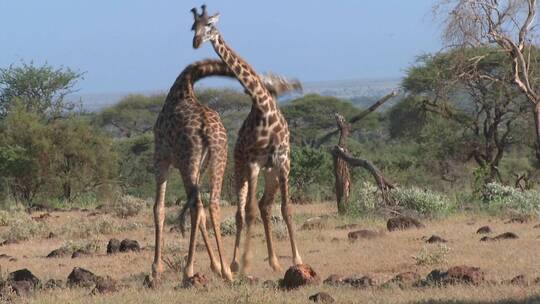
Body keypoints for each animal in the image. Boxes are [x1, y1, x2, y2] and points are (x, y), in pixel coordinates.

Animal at [190, 4, 302, 274]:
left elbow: (286, 209)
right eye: (193, 26)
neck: (264, 108)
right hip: (241, 169)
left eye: (210, 25)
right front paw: (246, 262)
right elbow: (248, 212)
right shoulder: (253, 163)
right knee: (243, 212)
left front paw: (297, 259)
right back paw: (235, 262)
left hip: (271, 173)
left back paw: (273, 261)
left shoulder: (283, 162)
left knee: (265, 205)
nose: (196, 42)